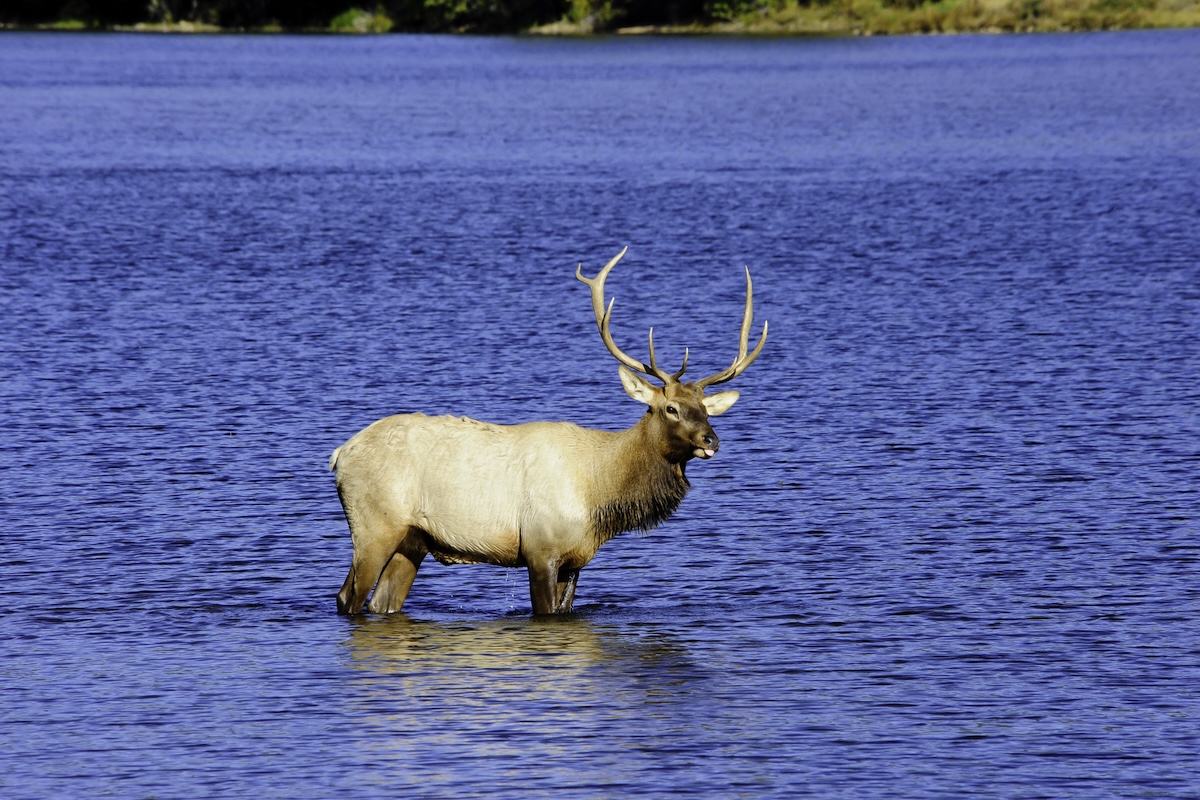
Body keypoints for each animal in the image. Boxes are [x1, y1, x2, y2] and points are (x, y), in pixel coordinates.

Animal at [329, 247, 767, 616]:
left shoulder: (577, 559)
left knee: (381, 602)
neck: (599, 495)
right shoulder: (540, 549)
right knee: (348, 596)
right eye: (669, 408)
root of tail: (339, 454)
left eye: (706, 411)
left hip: (413, 540)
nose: (711, 440)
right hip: (374, 525)